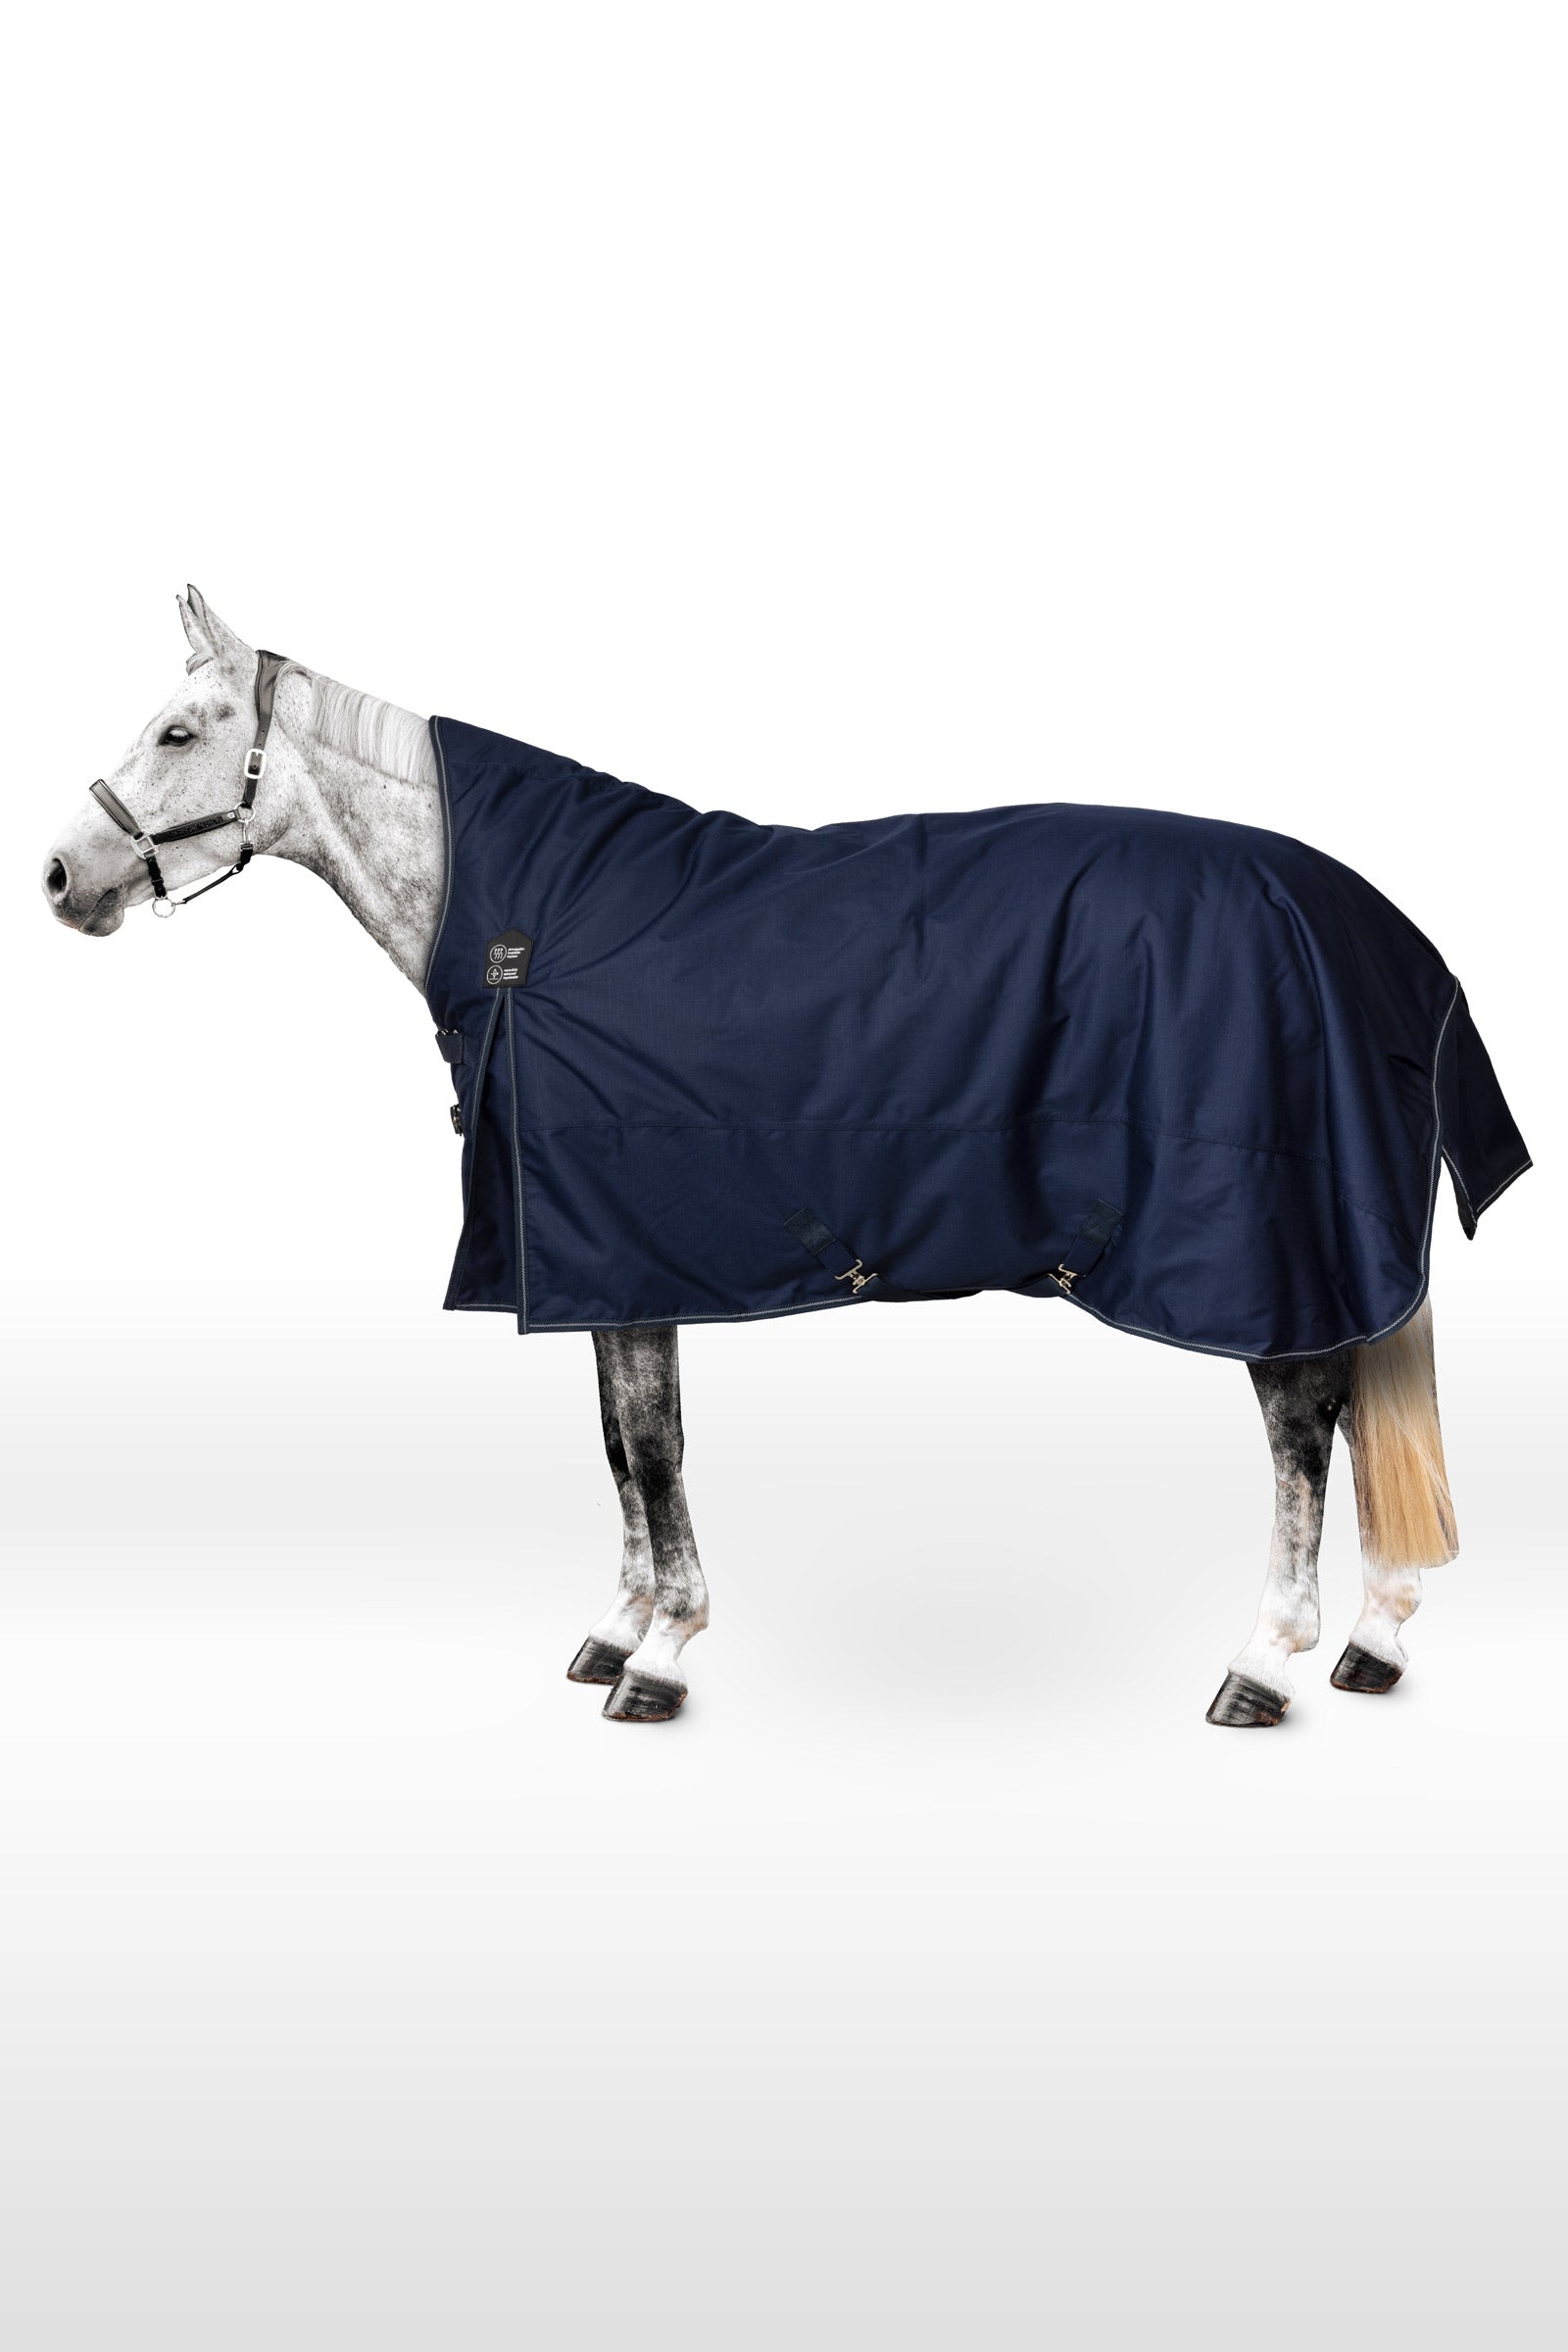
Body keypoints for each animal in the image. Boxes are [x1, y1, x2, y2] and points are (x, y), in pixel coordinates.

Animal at [41, 589, 1530, 1728]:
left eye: (179, 729)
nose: (60, 877)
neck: (543, 929)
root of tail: (1368, 924)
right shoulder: (602, 1262)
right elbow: (618, 1445)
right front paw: (617, 1625)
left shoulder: (626, 1248)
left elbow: (650, 1449)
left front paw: (658, 1656)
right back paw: (1374, 1642)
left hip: (1264, 1242)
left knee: (1301, 1422)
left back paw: (1265, 1662)